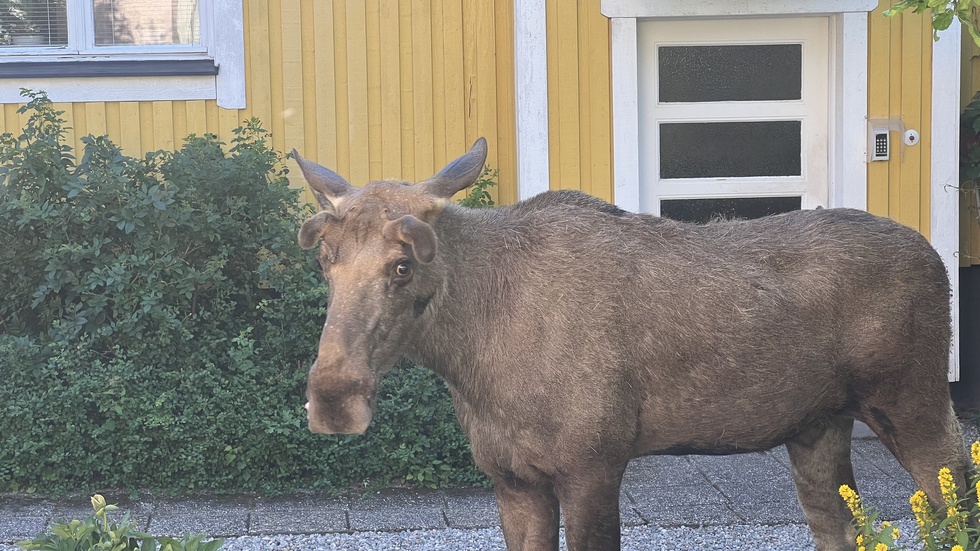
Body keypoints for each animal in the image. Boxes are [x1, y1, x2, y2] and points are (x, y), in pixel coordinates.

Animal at [290, 136, 964, 548]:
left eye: (402, 266)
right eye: (324, 260)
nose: (332, 398)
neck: (473, 362)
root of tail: (940, 260)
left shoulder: (593, 463)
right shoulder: (512, 478)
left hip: (916, 403)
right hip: (817, 426)